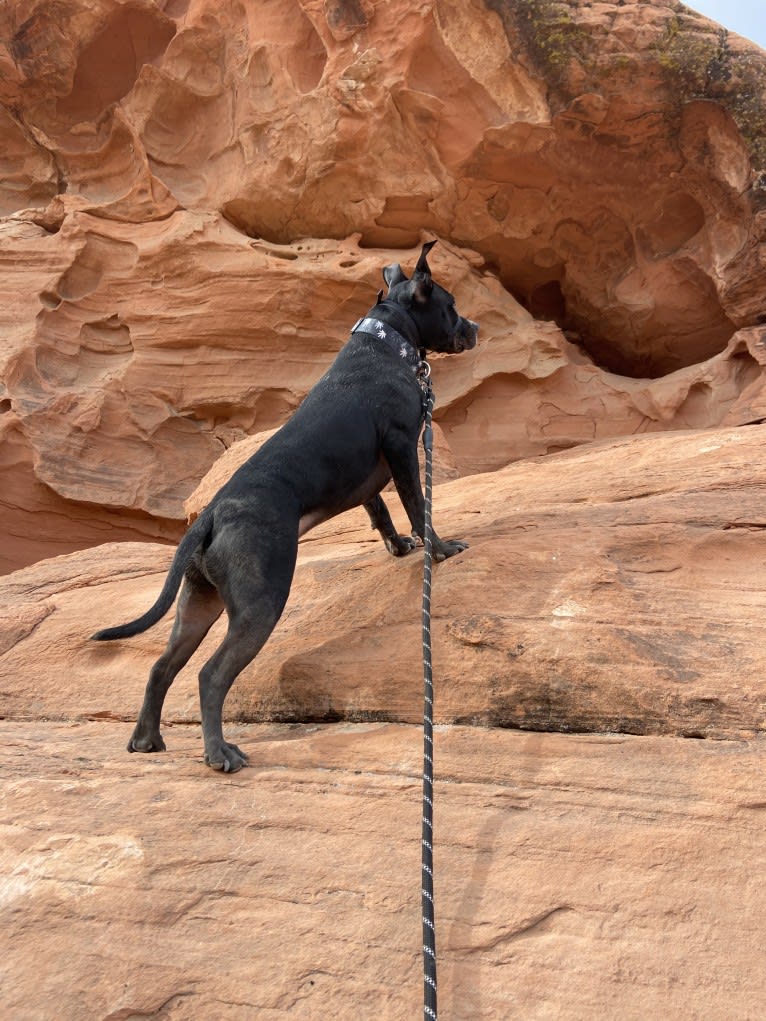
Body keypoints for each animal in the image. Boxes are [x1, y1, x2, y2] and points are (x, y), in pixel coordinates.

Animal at [92, 238, 480, 767]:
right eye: (452, 305)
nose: (475, 328)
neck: (387, 340)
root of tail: (209, 516)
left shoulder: (368, 477)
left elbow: (379, 510)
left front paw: (398, 546)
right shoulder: (402, 445)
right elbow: (417, 505)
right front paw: (439, 549)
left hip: (198, 605)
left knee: (161, 667)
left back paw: (147, 739)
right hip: (261, 603)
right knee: (210, 675)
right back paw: (220, 754)